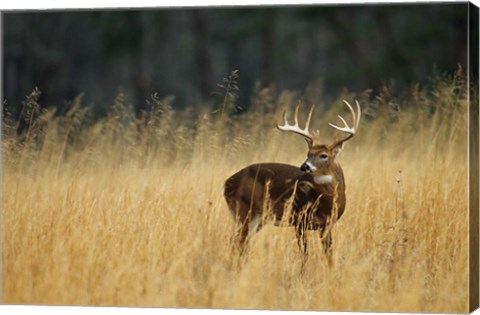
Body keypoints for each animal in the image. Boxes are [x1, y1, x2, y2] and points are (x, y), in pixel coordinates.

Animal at [222, 100, 360, 266]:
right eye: (308, 154)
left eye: (323, 155)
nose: (305, 166)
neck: (328, 201)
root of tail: (226, 184)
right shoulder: (299, 220)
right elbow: (305, 255)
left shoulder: (327, 225)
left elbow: (329, 255)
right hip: (243, 210)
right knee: (236, 241)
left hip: (256, 218)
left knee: (241, 242)